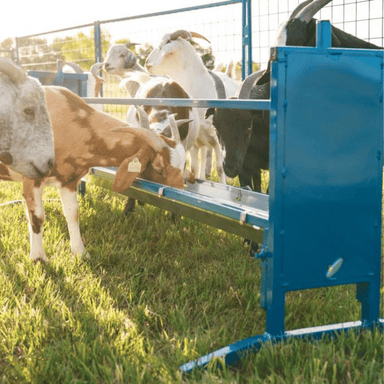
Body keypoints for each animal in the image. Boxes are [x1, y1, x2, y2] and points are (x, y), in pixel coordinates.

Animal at [0, 85, 192, 262]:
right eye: (159, 169)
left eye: (183, 165)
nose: (179, 209)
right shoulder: (32, 178)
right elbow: (37, 217)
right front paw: (38, 258)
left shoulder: (69, 180)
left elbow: (72, 213)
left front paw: (80, 253)